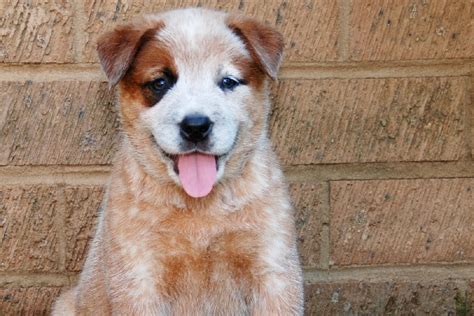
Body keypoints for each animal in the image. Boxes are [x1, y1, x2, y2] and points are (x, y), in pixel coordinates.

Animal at [52, 7, 304, 316]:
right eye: (160, 83)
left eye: (228, 82)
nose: (195, 126)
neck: (201, 209)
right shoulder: (139, 278)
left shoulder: (273, 273)